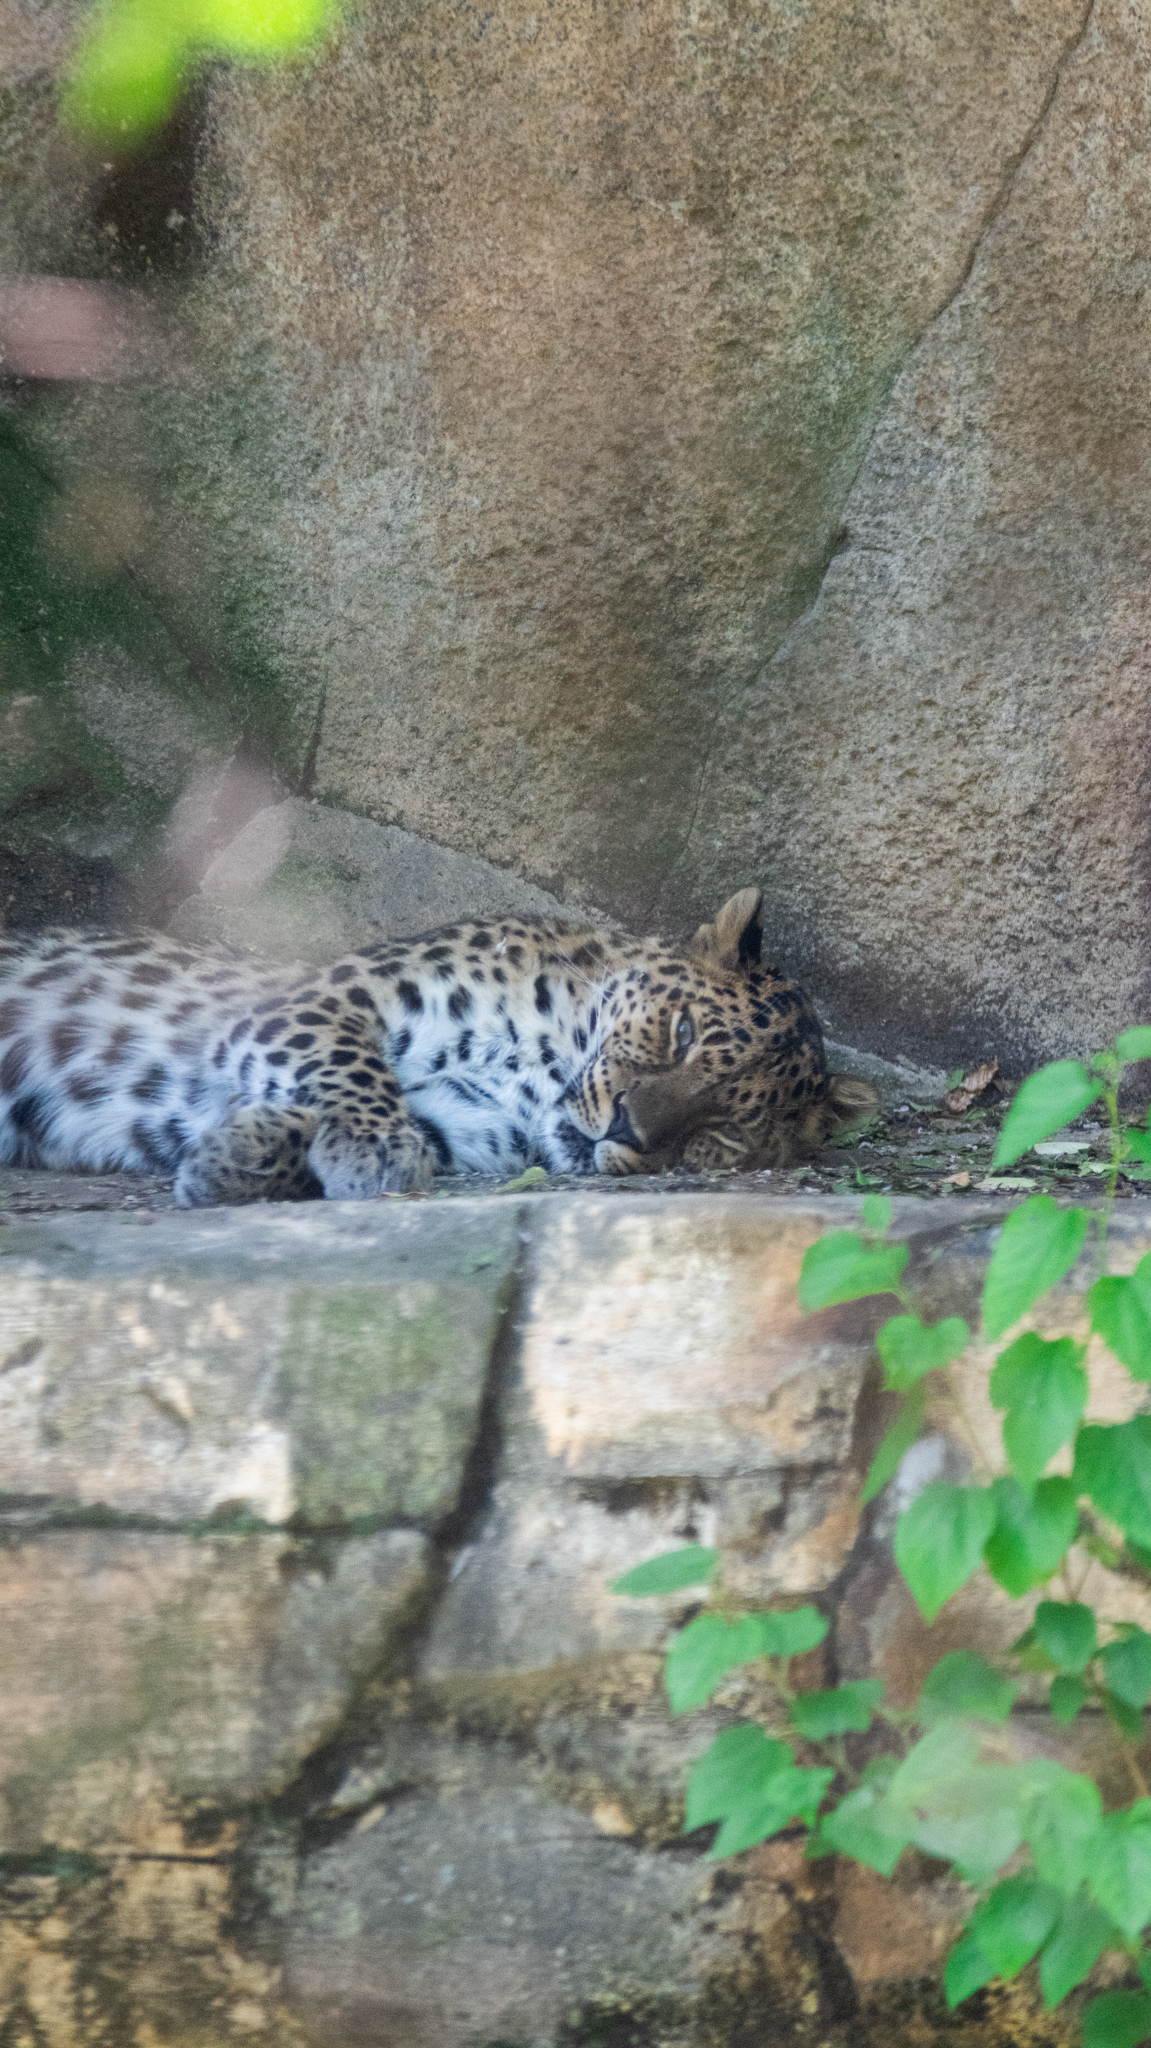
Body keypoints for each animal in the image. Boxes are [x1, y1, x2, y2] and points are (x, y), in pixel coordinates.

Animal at [0, 885, 872, 1207]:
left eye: (721, 1133)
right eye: (682, 1033)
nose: (626, 1128)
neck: (548, 1061)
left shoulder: (462, 1122)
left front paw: (236, 1158)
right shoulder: (322, 999)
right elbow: (349, 1068)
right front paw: (370, 1148)